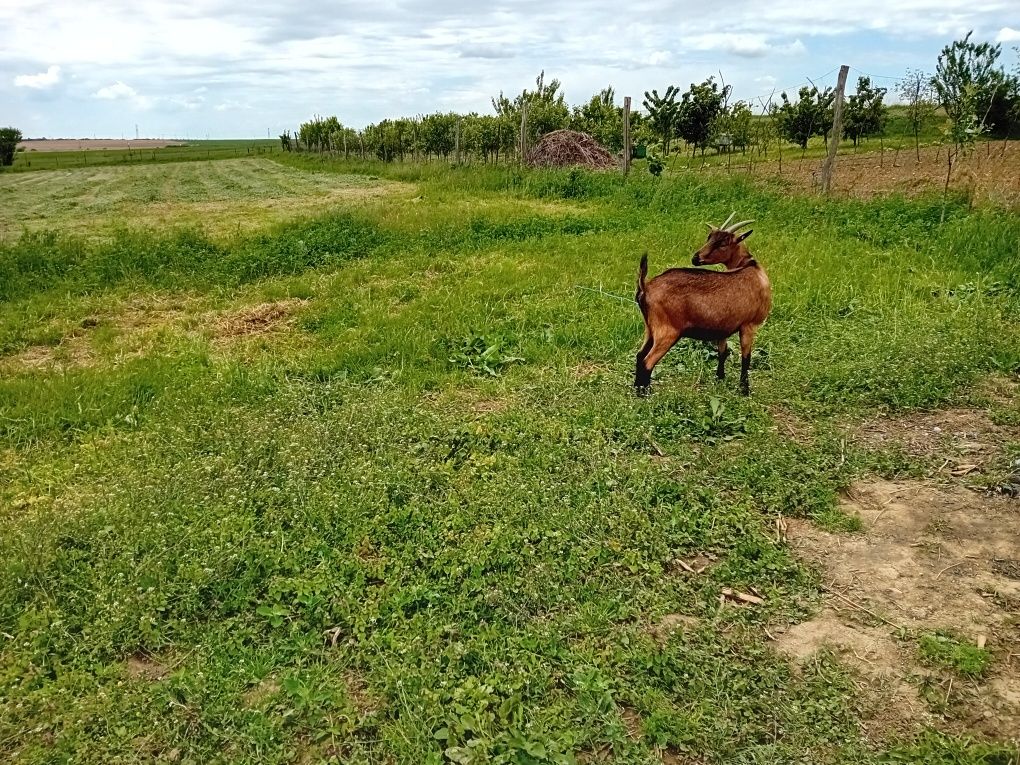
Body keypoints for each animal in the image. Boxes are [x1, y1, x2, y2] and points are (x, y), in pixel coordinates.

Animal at [632, 214, 767, 397]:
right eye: (710, 238)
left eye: (722, 243)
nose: (696, 258)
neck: (750, 268)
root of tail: (645, 287)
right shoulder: (749, 325)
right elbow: (746, 357)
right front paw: (744, 390)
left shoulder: (722, 328)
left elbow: (723, 352)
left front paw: (720, 378)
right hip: (667, 331)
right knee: (647, 361)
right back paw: (645, 394)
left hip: (650, 328)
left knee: (640, 356)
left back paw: (637, 389)